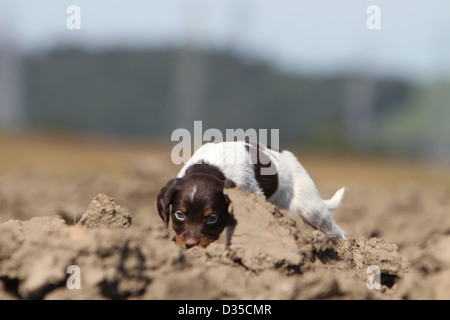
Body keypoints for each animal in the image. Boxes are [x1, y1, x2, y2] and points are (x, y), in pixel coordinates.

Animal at [156, 141, 346, 249]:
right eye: (179, 215)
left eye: (212, 218)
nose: (190, 245)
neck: (209, 167)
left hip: (311, 208)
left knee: (336, 231)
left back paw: (346, 254)